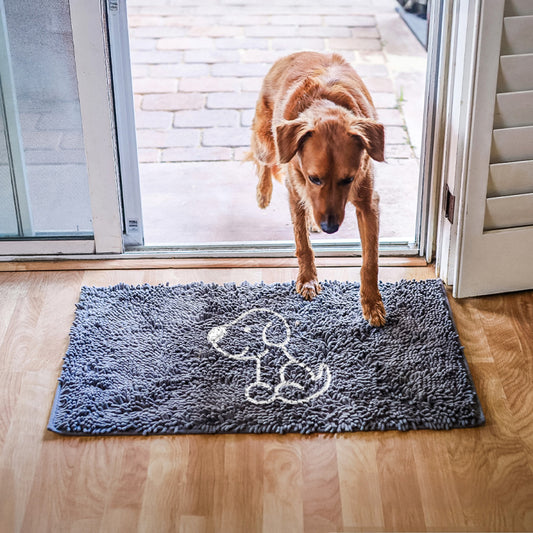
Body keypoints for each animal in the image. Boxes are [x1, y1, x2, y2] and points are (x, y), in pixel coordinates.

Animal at [249, 51, 386, 324]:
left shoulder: (368, 204)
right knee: (264, 162)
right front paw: (308, 280)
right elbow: (303, 244)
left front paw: (372, 302)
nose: (329, 227)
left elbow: (370, 260)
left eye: (348, 179)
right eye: (314, 178)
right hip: (267, 143)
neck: (326, 106)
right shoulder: (295, 193)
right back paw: (263, 193)